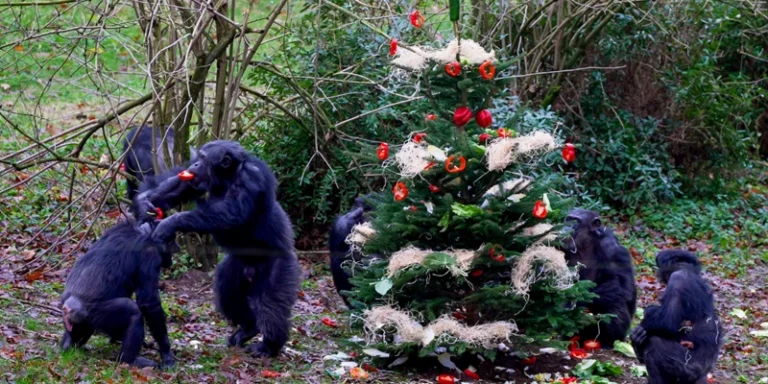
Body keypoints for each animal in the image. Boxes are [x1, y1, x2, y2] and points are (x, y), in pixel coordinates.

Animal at [60, 218, 180, 368]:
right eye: (172, 241)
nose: (178, 246)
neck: (144, 232)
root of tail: (68, 307)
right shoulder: (150, 255)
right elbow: (149, 303)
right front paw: (167, 354)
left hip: (79, 321)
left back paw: (68, 344)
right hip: (97, 312)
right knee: (134, 312)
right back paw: (130, 360)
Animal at [135, 140, 300, 356]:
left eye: (204, 159)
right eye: (198, 157)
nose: (195, 164)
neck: (228, 176)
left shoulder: (250, 177)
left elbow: (232, 211)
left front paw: (169, 223)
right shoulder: (195, 181)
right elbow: (180, 186)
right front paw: (145, 202)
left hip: (279, 264)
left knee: (269, 302)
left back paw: (268, 345)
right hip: (236, 265)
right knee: (227, 292)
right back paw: (248, 329)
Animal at [560, 208, 640, 350]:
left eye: (576, 221)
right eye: (568, 219)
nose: (566, 227)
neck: (586, 243)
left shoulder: (612, 248)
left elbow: (618, 283)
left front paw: (576, 302)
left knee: (615, 304)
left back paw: (607, 341)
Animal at [632, 250, 720, 382]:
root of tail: (705, 372)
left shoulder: (678, 279)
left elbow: (668, 321)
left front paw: (637, 333)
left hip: (688, 368)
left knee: (654, 345)